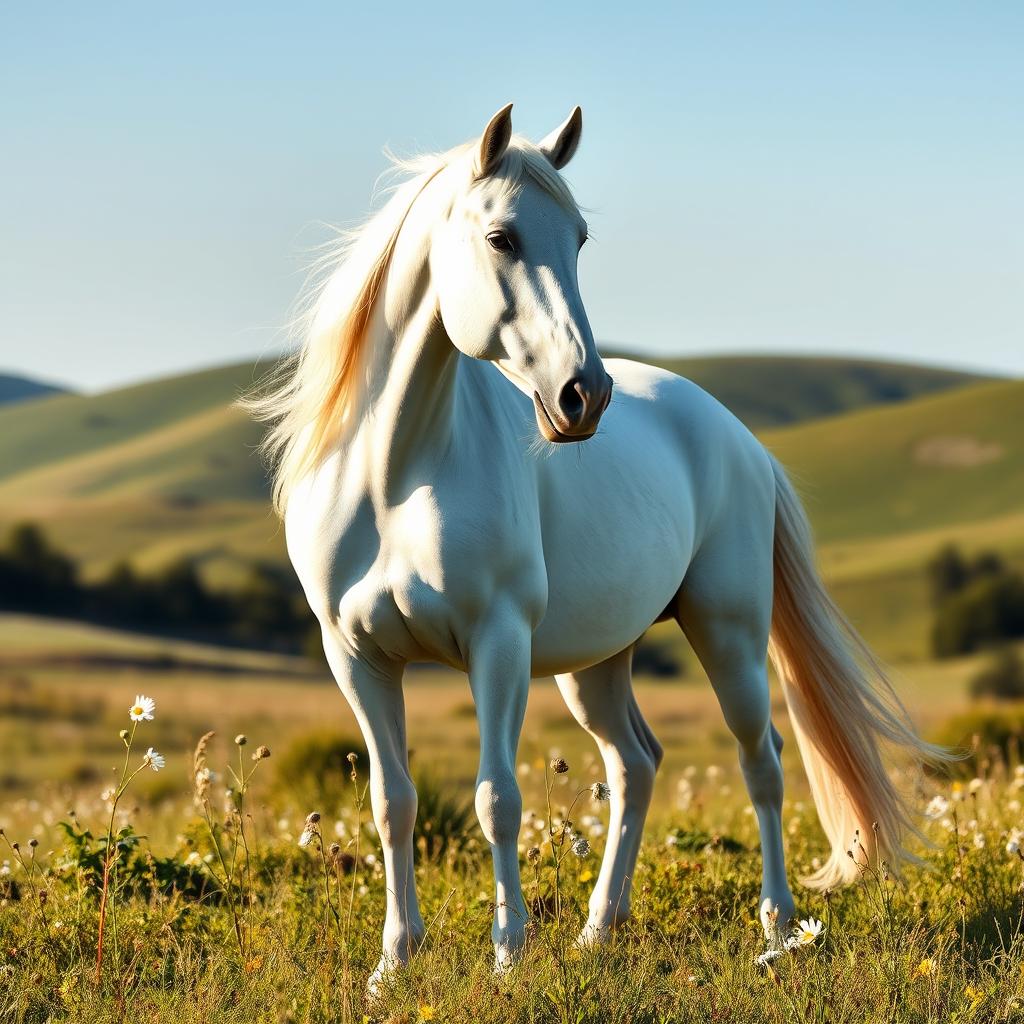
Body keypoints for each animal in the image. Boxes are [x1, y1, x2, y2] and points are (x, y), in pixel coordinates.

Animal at [248, 104, 937, 988]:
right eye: (502, 236)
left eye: (577, 238)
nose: (584, 395)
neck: (394, 476)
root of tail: (738, 437)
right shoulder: (357, 655)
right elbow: (392, 802)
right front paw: (394, 962)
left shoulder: (497, 644)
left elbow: (496, 798)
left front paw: (508, 956)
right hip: (596, 664)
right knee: (636, 764)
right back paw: (598, 928)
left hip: (729, 636)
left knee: (764, 761)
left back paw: (776, 929)